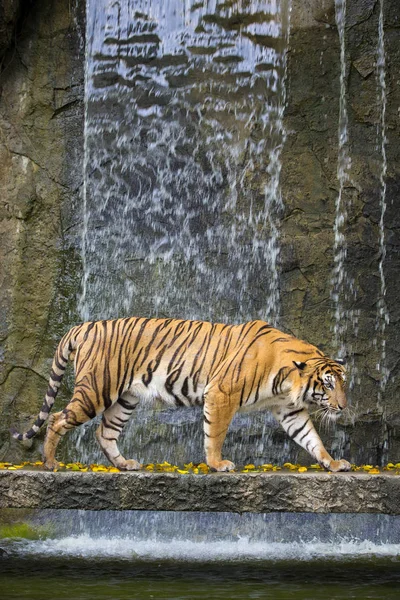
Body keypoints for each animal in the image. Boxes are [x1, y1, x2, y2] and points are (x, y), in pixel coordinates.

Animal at [11, 318, 350, 474]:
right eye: (328, 384)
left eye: (343, 383)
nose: (343, 407)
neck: (287, 380)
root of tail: (85, 324)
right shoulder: (221, 393)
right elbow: (215, 433)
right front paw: (217, 464)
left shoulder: (289, 410)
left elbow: (311, 438)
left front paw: (333, 463)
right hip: (96, 389)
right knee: (57, 418)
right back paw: (50, 463)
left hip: (125, 398)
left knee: (104, 432)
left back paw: (125, 464)